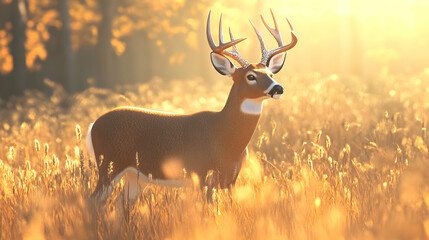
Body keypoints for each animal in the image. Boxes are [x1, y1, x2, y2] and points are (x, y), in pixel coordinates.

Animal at [85, 9, 296, 201]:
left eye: (271, 73)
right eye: (250, 76)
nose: (278, 88)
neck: (224, 137)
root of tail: (93, 125)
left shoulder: (231, 179)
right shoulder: (200, 173)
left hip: (135, 177)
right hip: (109, 164)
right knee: (93, 202)